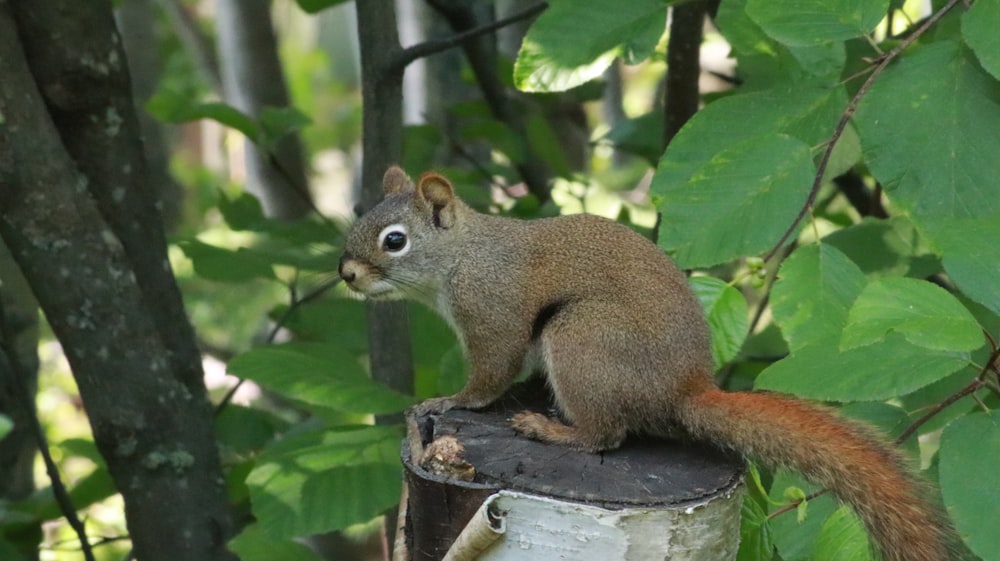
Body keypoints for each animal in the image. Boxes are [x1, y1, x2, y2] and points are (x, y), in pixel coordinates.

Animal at [338, 166, 952, 560]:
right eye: (357, 223)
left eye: (395, 241)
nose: (346, 274)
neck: (463, 257)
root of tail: (683, 389)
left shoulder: (492, 314)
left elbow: (490, 374)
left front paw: (450, 401)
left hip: (583, 339)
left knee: (605, 436)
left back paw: (550, 428)